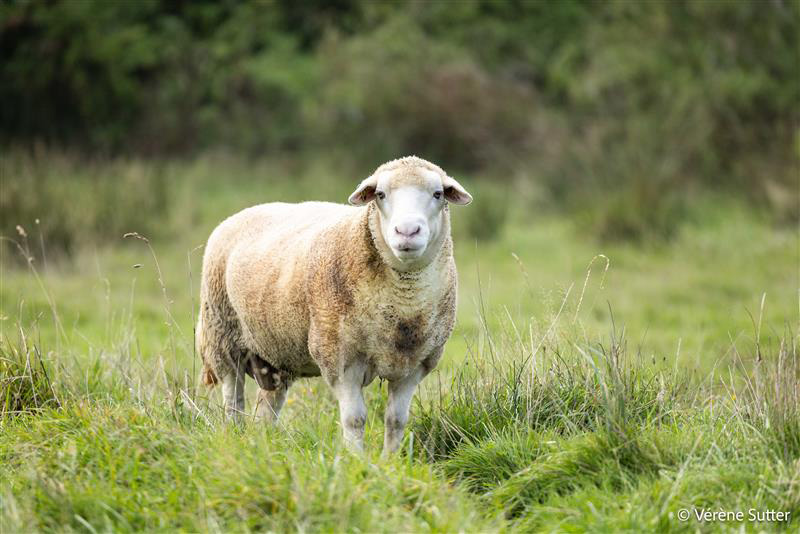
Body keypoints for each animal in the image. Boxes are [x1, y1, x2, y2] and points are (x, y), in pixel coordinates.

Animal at [195, 157, 468, 454]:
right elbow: (355, 419)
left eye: (438, 194)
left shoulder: (415, 364)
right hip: (222, 336)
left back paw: (263, 444)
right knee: (233, 399)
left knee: (267, 407)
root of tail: (247, 211)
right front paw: (356, 458)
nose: (407, 231)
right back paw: (234, 435)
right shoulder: (340, 357)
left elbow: (396, 420)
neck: (402, 305)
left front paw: (390, 460)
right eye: (380, 194)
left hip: (275, 353)